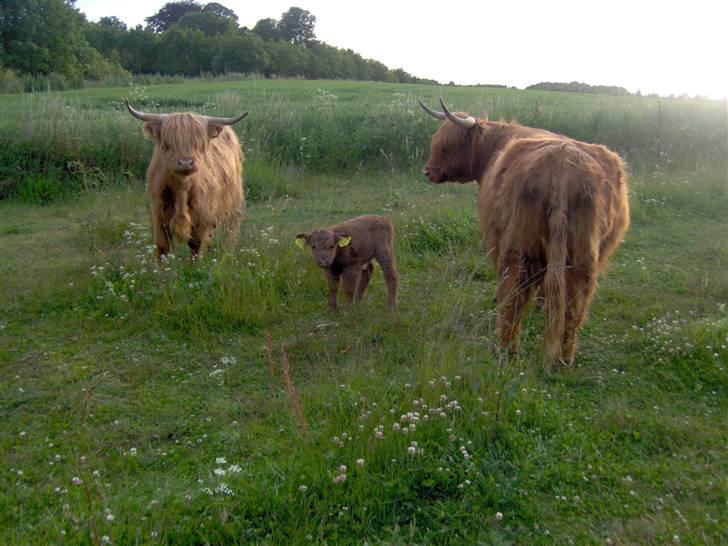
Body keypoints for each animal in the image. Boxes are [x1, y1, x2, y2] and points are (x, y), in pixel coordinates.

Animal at [126, 100, 247, 260]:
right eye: (167, 143)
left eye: (199, 144)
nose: (185, 162)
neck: (181, 187)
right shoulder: (159, 217)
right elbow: (162, 249)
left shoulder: (204, 220)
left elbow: (196, 248)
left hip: (233, 207)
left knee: (230, 234)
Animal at [419, 98, 630, 367]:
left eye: (449, 146)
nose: (428, 171)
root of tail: (562, 162)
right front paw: (542, 304)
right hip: (582, 255)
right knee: (574, 301)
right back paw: (563, 359)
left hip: (520, 247)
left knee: (514, 295)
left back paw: (507, 351)